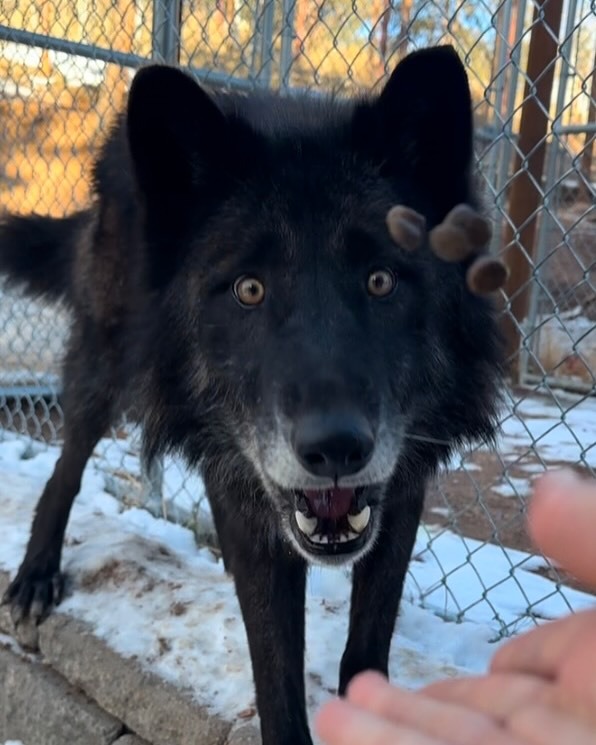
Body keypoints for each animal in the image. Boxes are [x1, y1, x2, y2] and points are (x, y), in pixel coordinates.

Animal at [1, 46, 502, 744]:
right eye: (249, 290)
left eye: (380, 280)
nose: (335, 448)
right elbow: (276, 675)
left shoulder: (400, 495)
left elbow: (367, 647)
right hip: (105, 364)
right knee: (67, 463)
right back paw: (36, 574)